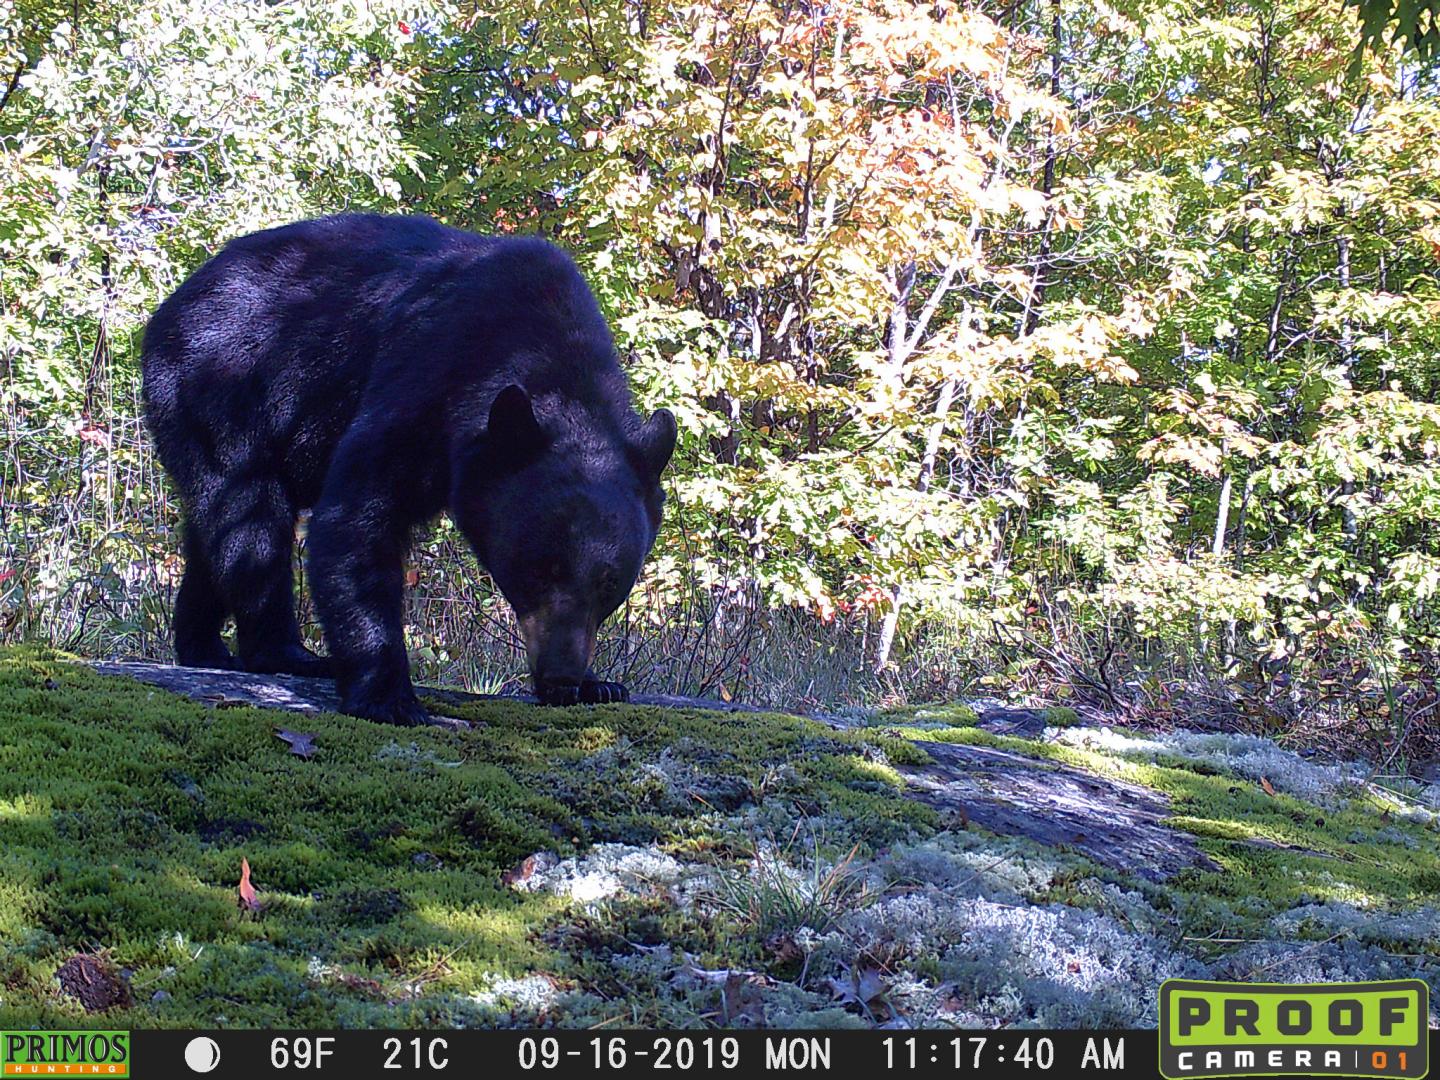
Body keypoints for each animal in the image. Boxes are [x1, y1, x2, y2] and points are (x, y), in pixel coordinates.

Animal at [144, 213, 679, 728]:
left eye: (611, 584)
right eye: (537, 569)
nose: (561, 675)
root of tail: (173, 305)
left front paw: (598, 684)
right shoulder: (425, 377)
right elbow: (358, 518)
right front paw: (389, 698)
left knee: (212, 535)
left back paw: (204, 648)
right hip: (217, 388)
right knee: (250, 520)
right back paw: (285, 653)